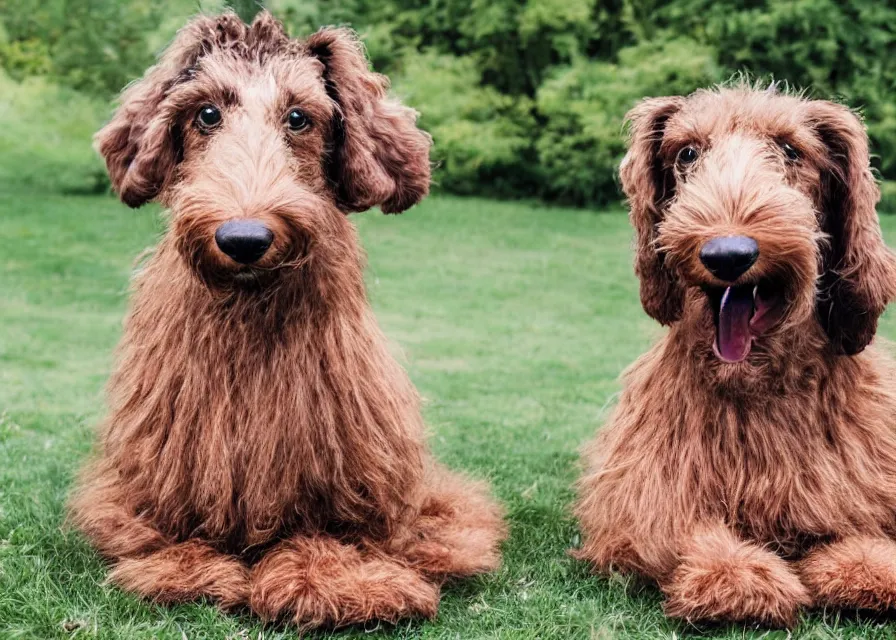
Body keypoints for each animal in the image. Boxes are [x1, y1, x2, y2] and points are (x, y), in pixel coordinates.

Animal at [68, 10, 504, 632]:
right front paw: (189, 567)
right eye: (206, 114)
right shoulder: (150, 474)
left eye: (299, 117)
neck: (252, 315)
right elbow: (166, 528)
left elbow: (326, 533)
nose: (244, 238)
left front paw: (330, 579)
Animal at [576, 84, 896, 624]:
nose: (728, 255)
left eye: (790, 151)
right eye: (687, 153)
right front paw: (735, 574)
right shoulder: (642, 497)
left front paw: (867, 567)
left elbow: (858, 524)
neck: (757, 386)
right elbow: (680, 530)